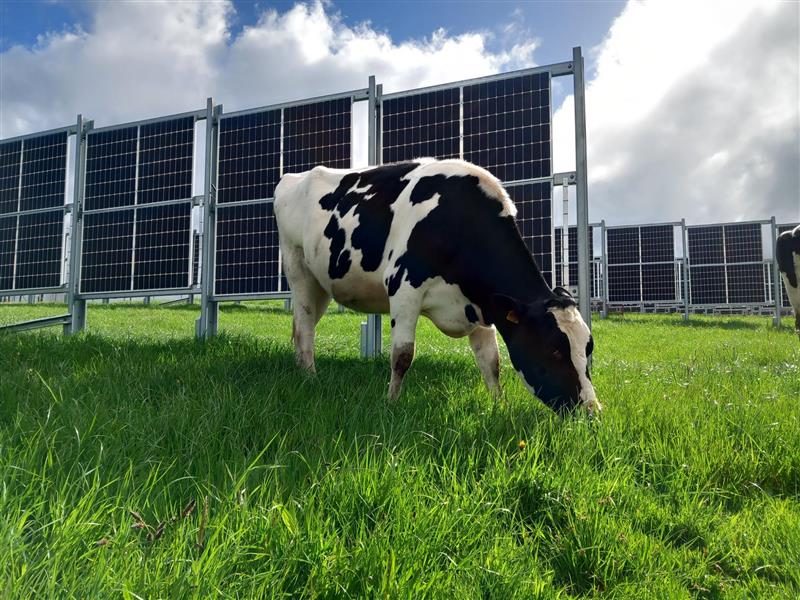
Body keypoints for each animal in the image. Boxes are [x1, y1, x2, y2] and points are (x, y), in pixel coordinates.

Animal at [274, 158, 600, 414]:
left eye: (588, 347)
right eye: (553, 351)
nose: (592, 410)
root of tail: (293, 178)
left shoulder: (482, 306)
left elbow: (491, 362)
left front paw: (499, 405)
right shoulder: (404, 287)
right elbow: (402, 355)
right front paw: (391, 402)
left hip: (322, 285)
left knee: (303, 325)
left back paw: (300, 370)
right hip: (298, 269)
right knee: (305, 328)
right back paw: (310, 377)